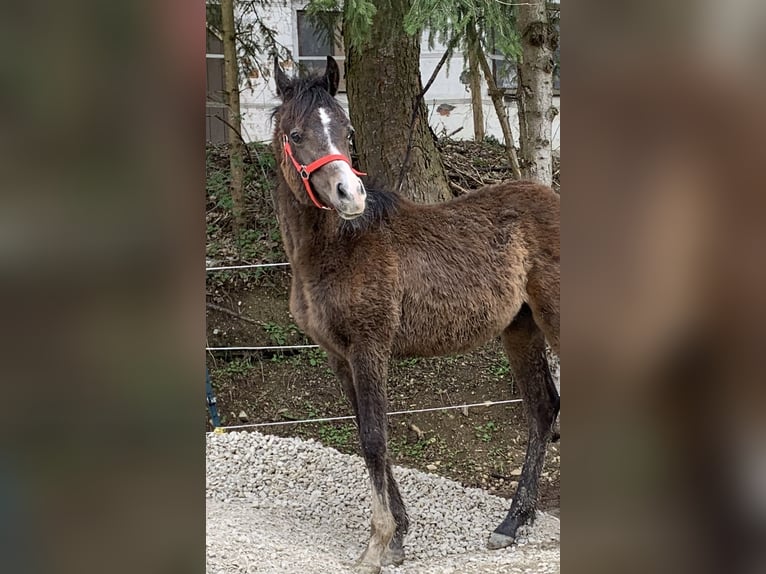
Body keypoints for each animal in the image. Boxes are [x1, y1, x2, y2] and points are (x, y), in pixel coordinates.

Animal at [272, 55, 560, 574]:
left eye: (346, 130)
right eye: (297, 133)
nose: (350, 194)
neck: (340, 248)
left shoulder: (370, 348)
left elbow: (374, 438)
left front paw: (377, 544)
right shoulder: (338, 356)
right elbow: (367, 435)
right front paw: (400, 535)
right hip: (521, 328)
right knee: (543, 407)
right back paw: (512, 523)